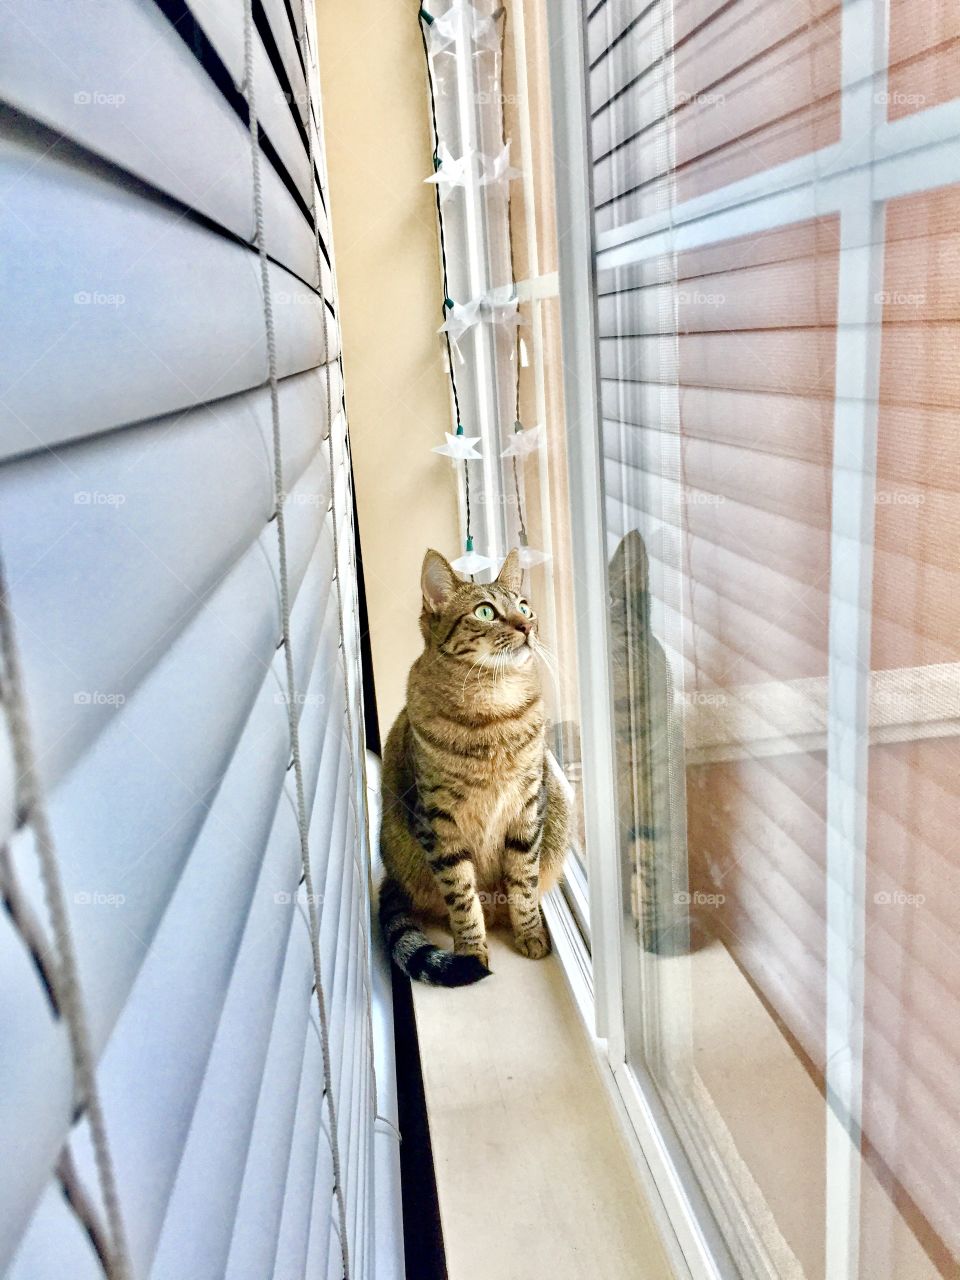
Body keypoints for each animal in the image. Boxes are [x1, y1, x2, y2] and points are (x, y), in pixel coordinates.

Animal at [378, 545, 570, 983]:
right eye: (485, 612)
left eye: (524, 606)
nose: (527, 626)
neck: (493, 711)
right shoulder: (438, 821)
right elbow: (461, 894)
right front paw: (470, 950)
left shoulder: (528, 806)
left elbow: (524, 882)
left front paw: (529, 932)